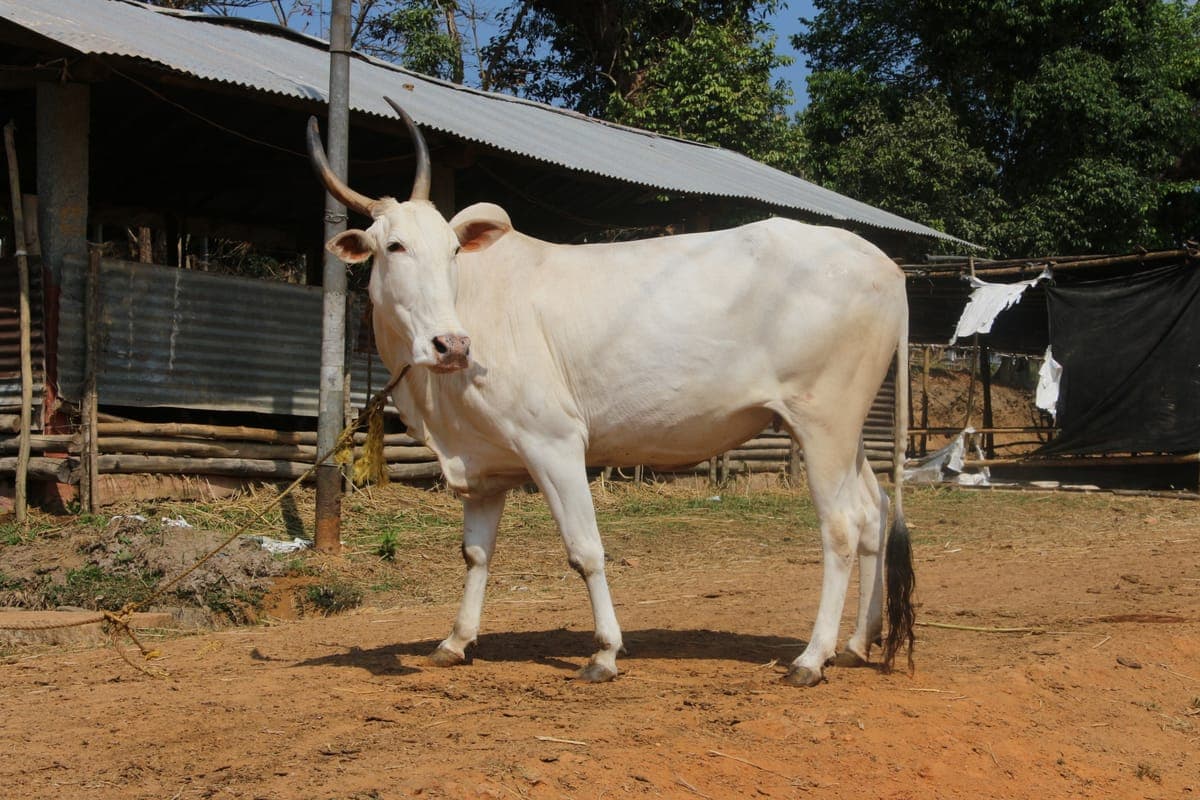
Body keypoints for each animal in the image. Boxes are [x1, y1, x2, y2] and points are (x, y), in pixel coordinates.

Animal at [307, 98, 915, 686]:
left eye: (452, 251)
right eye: (395, 246)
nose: (451, 344)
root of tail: (889, 268)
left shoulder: (553, 442)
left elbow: (585, 550)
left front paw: (604, 652)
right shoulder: (486, 464)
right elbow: (476, 554)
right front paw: (455, 642)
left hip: (823, 421)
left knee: (842, 526)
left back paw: (812, 657)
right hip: (845, 429)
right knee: (875, 511)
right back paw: (857, 644)